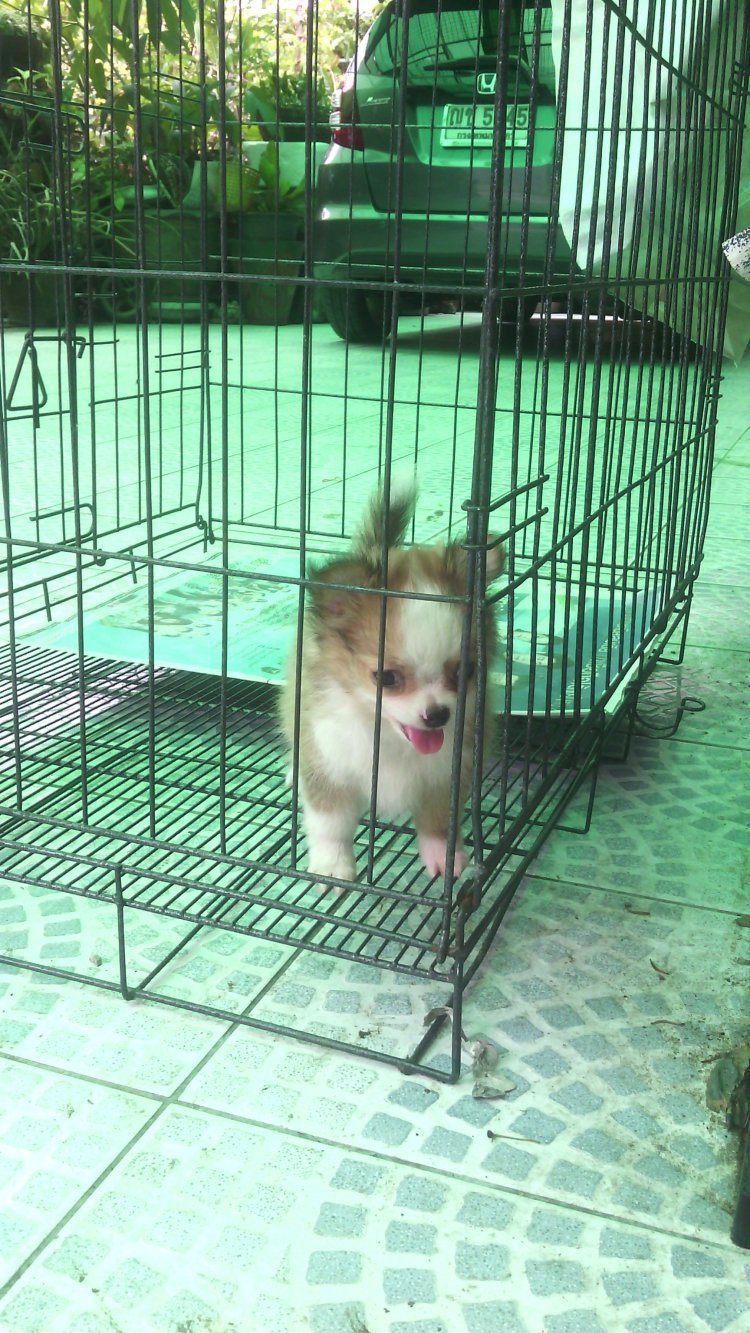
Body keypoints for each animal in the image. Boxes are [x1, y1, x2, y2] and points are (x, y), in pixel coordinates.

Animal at [280, 481, 503, 887]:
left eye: (465, 672)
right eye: (386, 678)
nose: (438, 714)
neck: (388, 737)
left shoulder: (446, 775)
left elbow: (437, 822)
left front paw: (442, 856)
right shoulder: (332, 762)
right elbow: (330, 823)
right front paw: (332, 866)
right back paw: (293, 773)